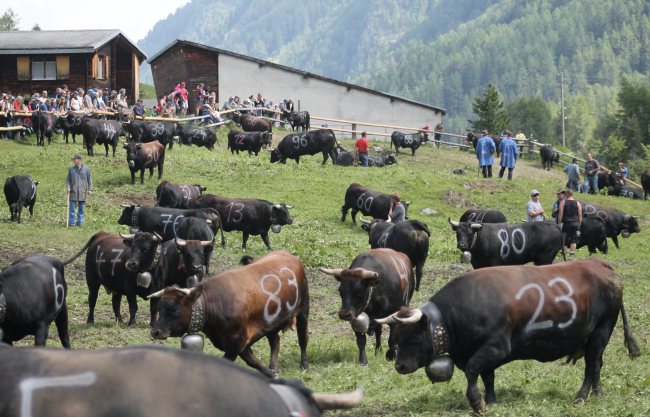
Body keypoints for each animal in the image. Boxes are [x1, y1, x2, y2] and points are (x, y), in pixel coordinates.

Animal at [149, 249, 308, 378]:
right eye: (160, 307)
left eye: (173, 309)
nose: (155, 331)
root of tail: (285, 252)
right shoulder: (240, 341)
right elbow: (252, 361)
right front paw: (271, 373)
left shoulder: (238, 339)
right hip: (272, 322)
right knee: (275, 340)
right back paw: (274, 366)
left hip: (303, 308)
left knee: (303, 337)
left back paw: (304, 365)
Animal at [378, 258, 640, 414]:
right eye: (396, 338)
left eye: (413, 337)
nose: (400, 365)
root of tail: (599, 263)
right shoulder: (484, 352)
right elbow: (488, 376)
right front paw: (492, 399)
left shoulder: (496, 347)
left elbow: (473, 371)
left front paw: (477, 402)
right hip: (596, 338)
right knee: (597, 365)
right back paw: (598, 393)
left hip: (601, 332)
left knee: (591, 366)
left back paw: (581, 397)